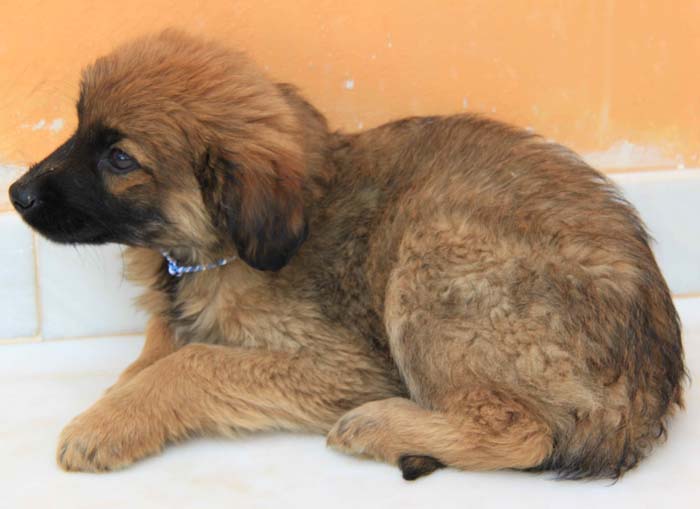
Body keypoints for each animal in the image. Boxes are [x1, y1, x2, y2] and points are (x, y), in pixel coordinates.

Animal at [9, 30, 685, 480]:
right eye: (77, 124)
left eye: (120, 158)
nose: (16, 194)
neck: (214, 249)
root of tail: (644, 394)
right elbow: (158, 347)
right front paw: (118, 397)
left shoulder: (344, 364)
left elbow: (195, 361)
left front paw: (106, 423)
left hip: (433, 264)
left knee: (523, 433)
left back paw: (380, 426)